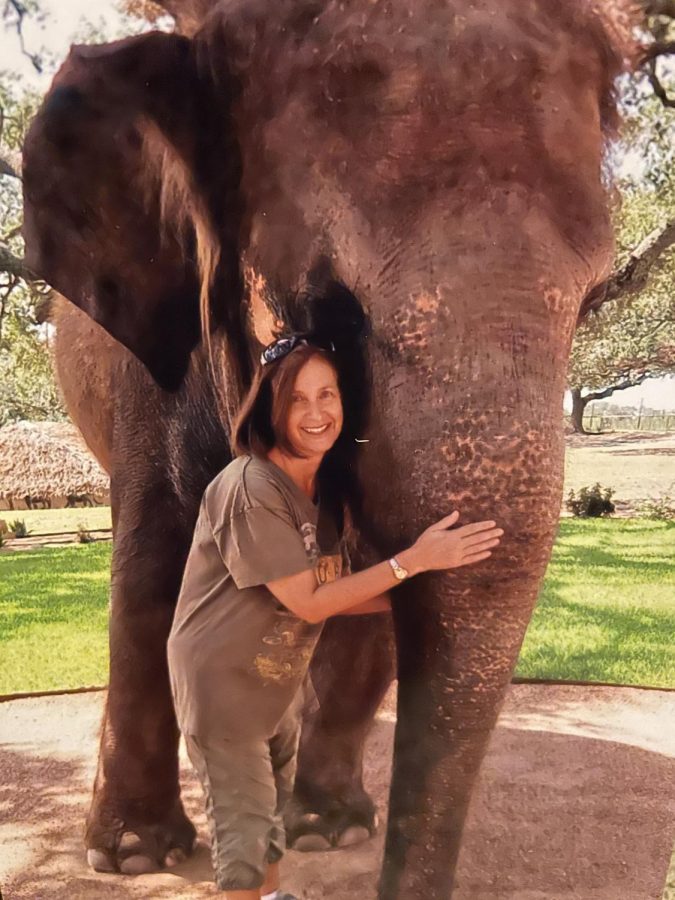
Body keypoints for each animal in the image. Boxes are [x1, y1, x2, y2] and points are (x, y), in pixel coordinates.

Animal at [19, 3, 632, 896]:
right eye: (328, 312)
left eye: (592, 302)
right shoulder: (151, 371)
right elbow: (153, 576)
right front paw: (131, 855)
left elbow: (366, 589)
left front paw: (327, 830)